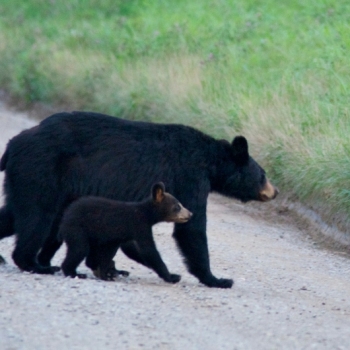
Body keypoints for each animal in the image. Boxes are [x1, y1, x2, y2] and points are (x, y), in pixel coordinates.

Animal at [59, 182, 193, 284]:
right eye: (177, 206)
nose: (190, 214)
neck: (146, 214)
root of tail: (65, 216)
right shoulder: (139, 225)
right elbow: (148, 250)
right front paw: (172, 277)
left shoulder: (117, 236)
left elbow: (128, 250)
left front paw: (105, 272)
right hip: (77, 228)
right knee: (79, 249)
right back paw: (73, 273)